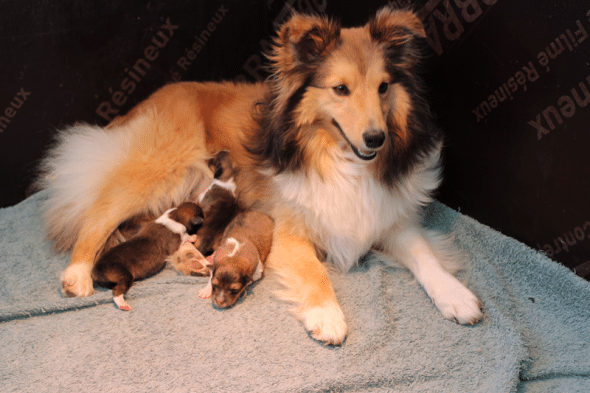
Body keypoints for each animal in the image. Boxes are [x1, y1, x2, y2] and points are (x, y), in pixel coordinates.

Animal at [40, 6, 486, 344]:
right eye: (340, 89)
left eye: (383, 87)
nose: (376, 138)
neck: (336, 157)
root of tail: (145, 101)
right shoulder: (287, 228)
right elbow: (314, 271)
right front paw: (328, 316)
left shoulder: (385, 217)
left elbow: (424, 255)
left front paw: (457, 296)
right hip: (156, 169)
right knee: (98, 213)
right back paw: (77, 275)